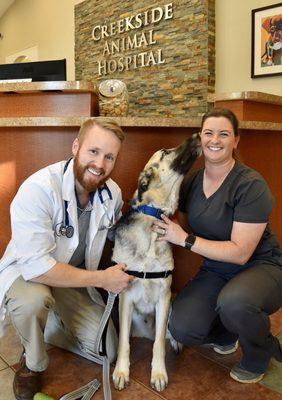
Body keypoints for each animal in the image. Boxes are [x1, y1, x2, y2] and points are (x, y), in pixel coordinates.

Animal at [112, 134, 200, 390]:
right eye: (165, 152)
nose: (197, 135)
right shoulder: (124, 297)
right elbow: (123, 343)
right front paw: (121, 371)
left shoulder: (164, 297)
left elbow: (159, 343)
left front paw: (159, 373)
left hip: (173, 299)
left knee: (165, 333)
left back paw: (176, 341)